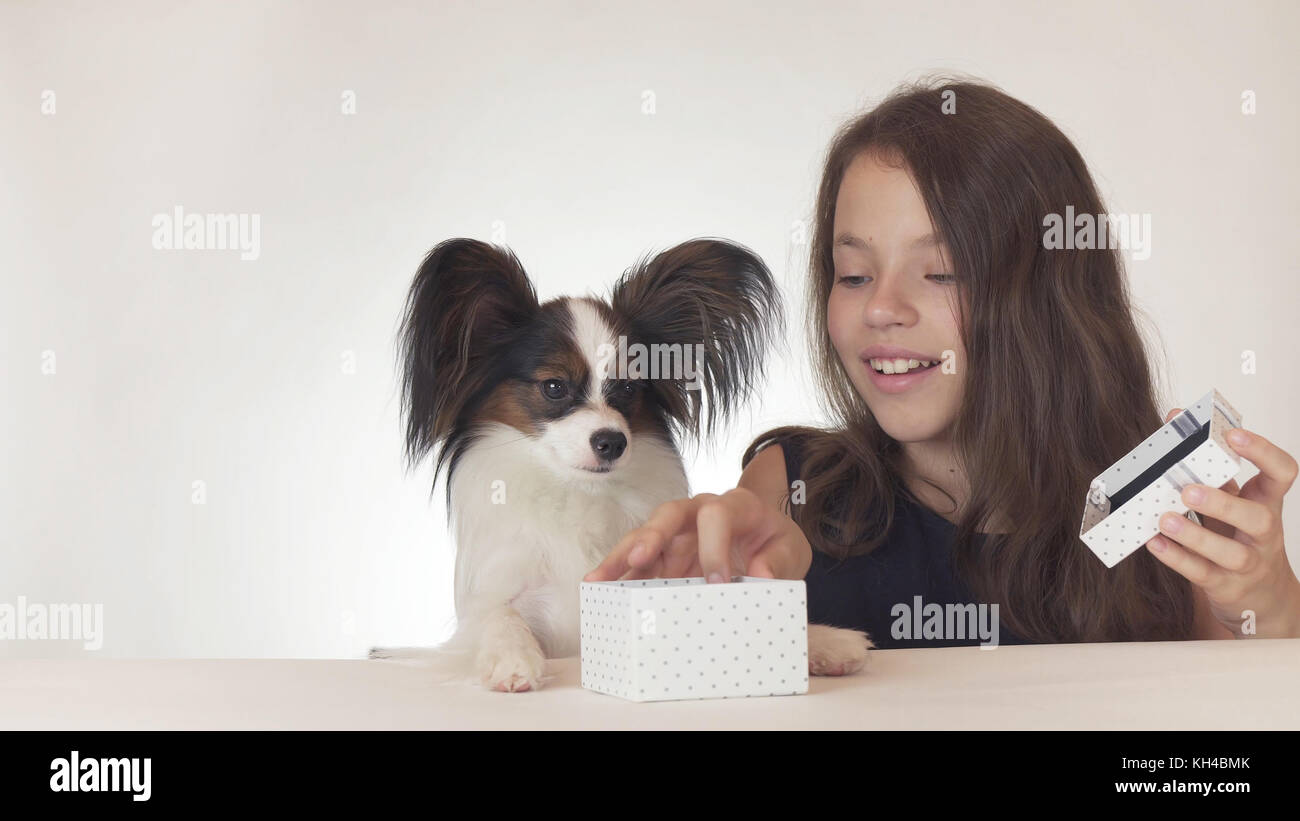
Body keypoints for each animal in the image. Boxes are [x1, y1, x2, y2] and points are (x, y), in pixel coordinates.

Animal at [369, 239, 873, 691]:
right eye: (554, 387)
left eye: (629, 390)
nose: (612, 441)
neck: (576, 493)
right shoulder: (497, 601)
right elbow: (500, 616)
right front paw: (513, 658)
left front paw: (822, 641)